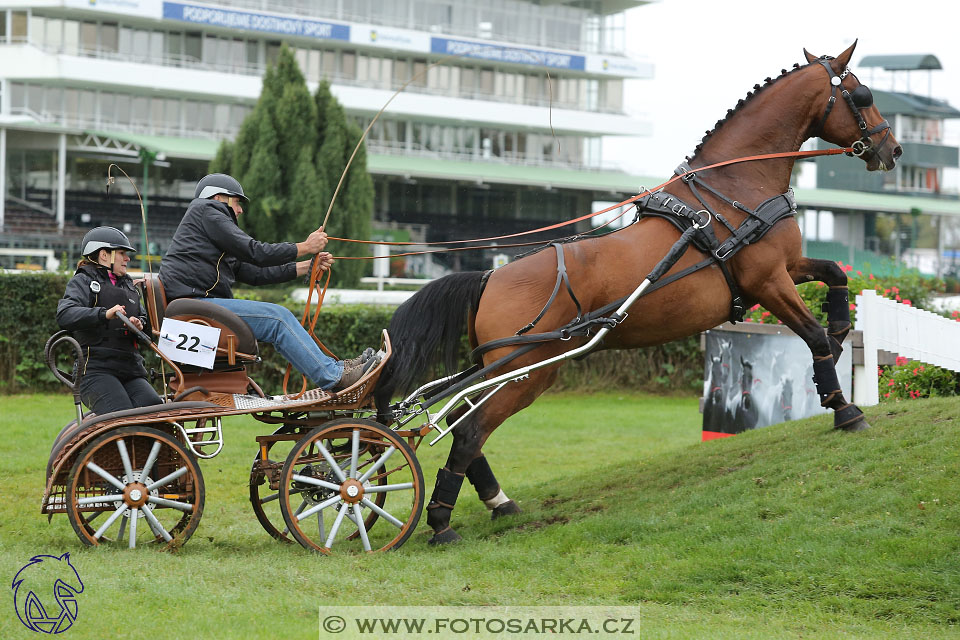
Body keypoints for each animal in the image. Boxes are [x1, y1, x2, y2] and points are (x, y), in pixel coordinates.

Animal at [374, 41, 900, 544]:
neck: (734, 189)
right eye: (862, 95)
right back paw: (440, 522)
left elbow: (835, 277)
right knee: (466, 430)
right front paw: (844, 407)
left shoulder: (786, 268)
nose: (891, 149)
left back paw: (496, 502)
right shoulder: (768, 281)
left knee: (462, 423)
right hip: (523, 370)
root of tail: (488, 277)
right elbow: (811, 335)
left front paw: (841, 334)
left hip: (518, 370)